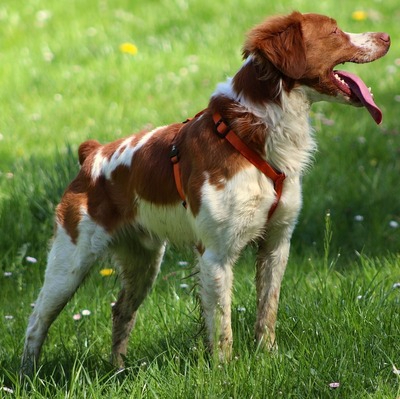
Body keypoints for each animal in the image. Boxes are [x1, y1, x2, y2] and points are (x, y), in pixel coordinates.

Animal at [19, 11, 390, 376]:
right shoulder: (216, 254)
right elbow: (222, 326)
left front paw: (268, 358)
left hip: (144, 263)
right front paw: (225, 374)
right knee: (36, 319)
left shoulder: (276, 244)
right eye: (334, 31)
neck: (254, 133)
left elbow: (267, 311)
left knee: (120, 310)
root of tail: (93, 155)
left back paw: (118, 371)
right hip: (70, 262)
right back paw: (27, 378)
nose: (387, 36)